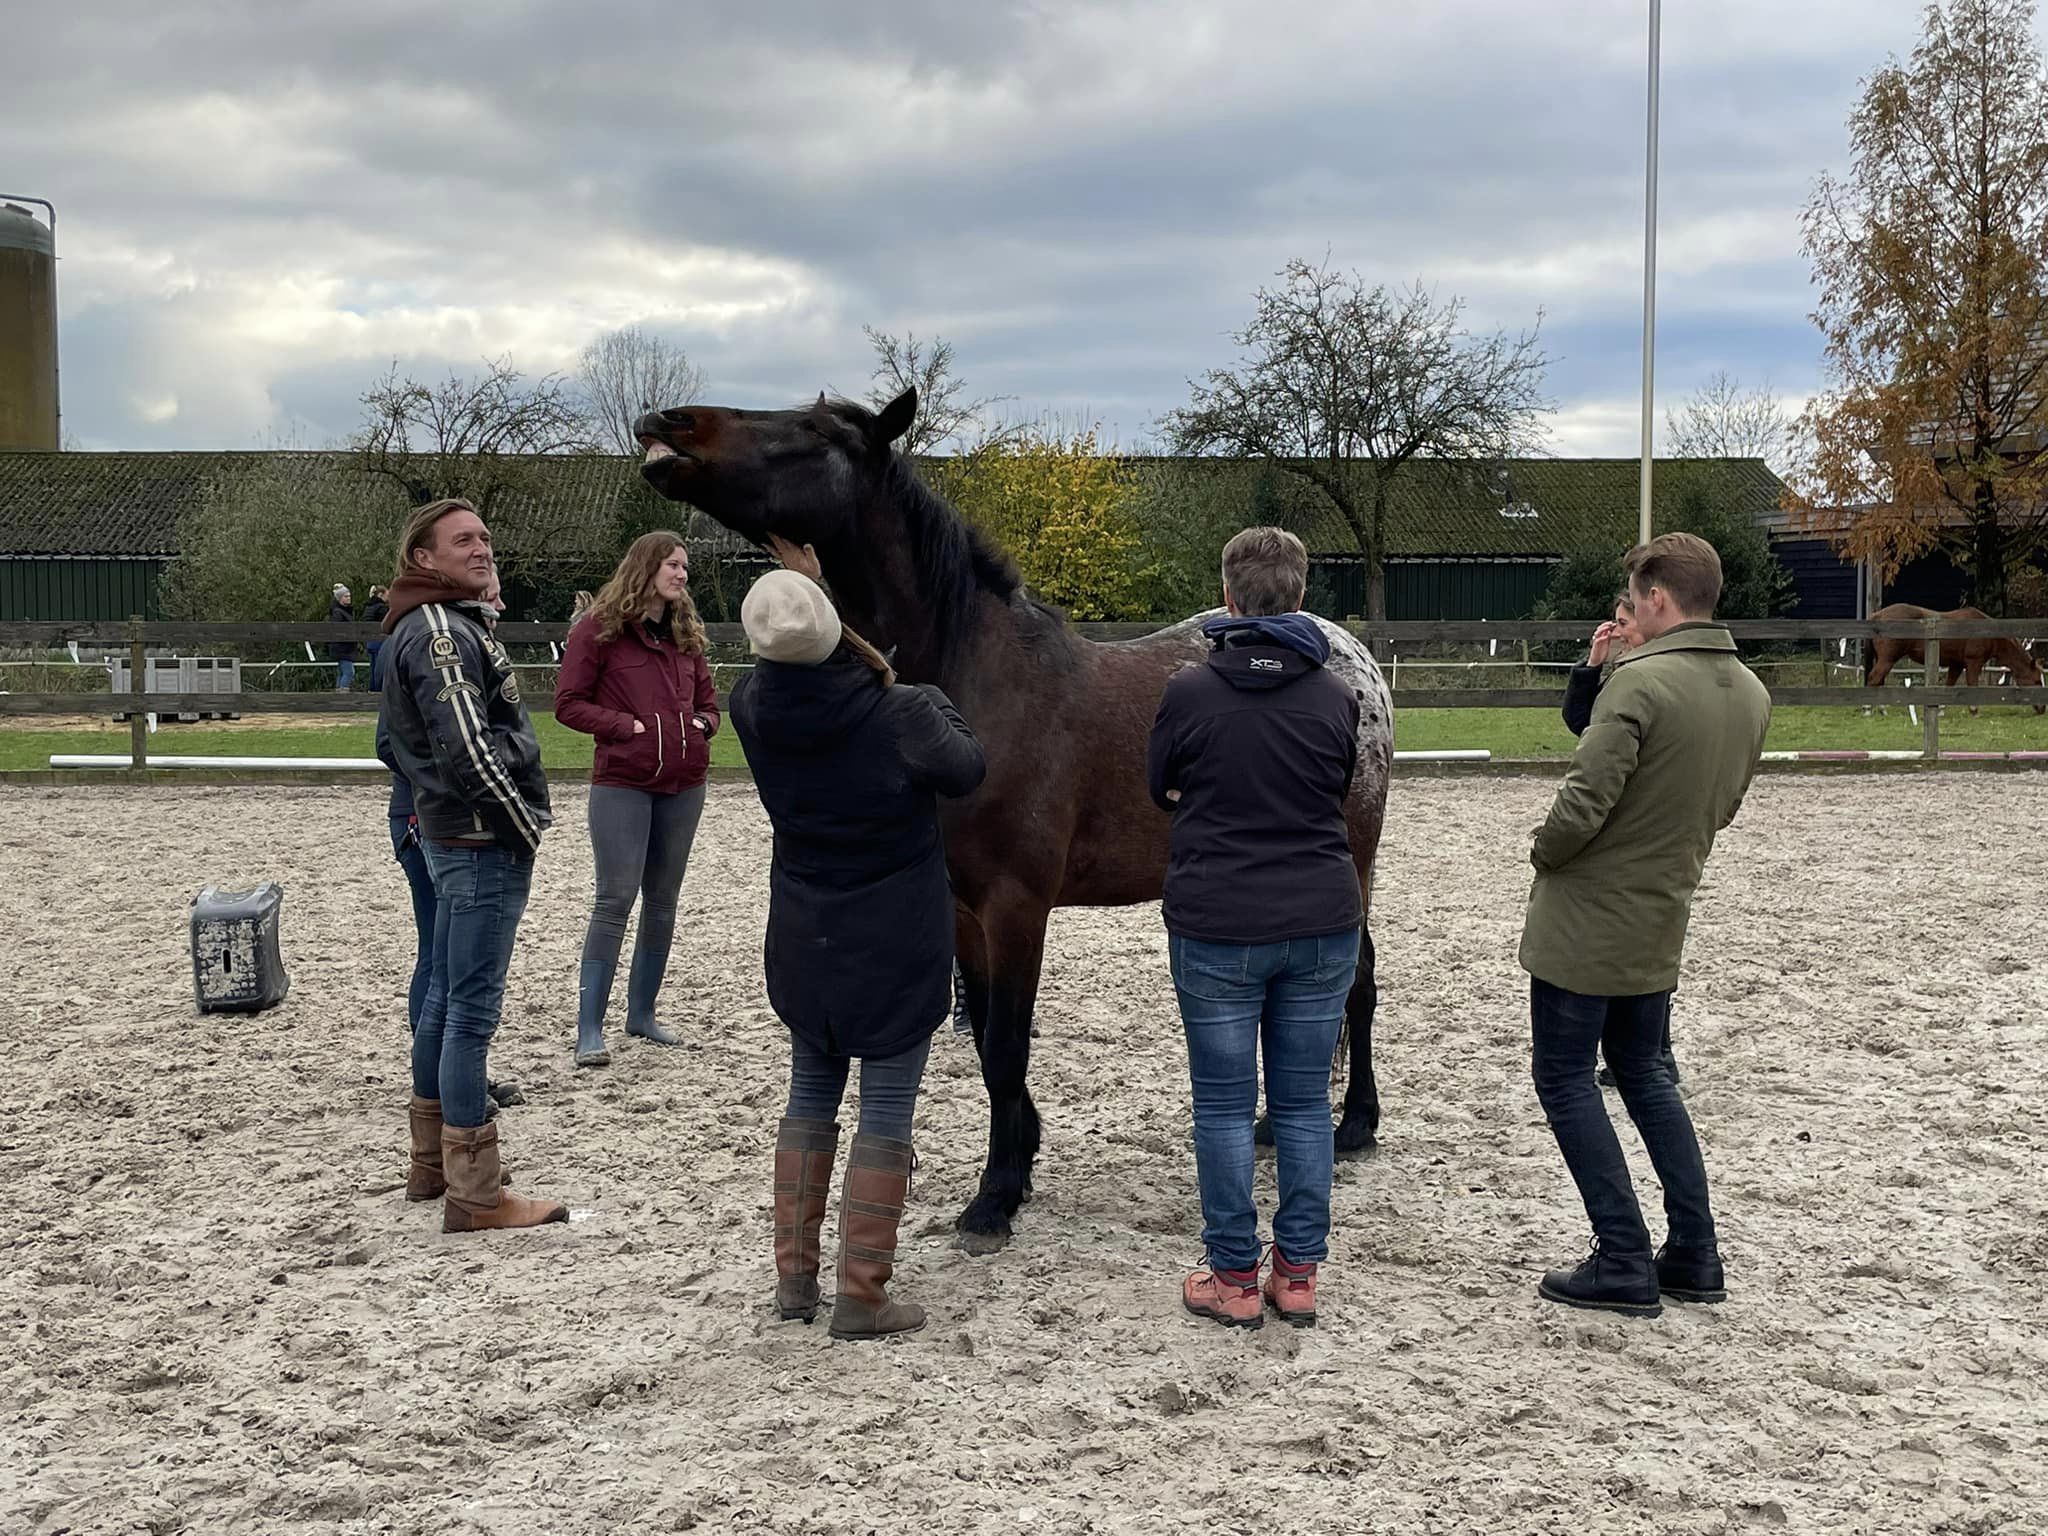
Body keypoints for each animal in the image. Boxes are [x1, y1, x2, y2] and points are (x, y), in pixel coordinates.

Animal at [630, 385, 1392, 1253]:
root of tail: (1353, 659)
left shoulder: (1017, 908)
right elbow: (994, 1033)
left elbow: (1005, 1047)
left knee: (1358, 984)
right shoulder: (963, 910)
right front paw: (1019, 1159)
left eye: (816, 433)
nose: (668, 423)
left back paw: (1354, 1125)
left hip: (1352, 867)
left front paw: (994, 1197)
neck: (977, 677)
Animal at [1867, 606, 2039, 720]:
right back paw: (1868, 709)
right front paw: (1974, 710)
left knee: (1878, 681)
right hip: (1887, 660)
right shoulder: (1973, 663)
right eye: (2037, 680)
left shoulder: (1957, 665)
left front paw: (1941, 709)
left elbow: (1949, 685)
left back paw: (1881, 710)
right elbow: (1972, 685)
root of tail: (1877, 615)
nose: (2042, 709)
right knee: (1874, 679)